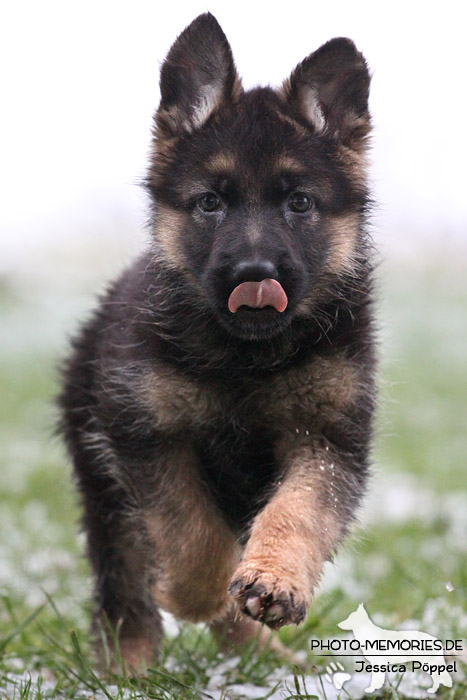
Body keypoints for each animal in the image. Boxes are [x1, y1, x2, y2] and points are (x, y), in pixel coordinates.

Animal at [58, 13, 376, 672]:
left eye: (299, 202)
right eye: (210, 203)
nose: (255, 274)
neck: (245, 358)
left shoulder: (328, 438)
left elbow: (298, 511)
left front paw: (272, 582)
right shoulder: (147, 436)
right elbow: (188, 531)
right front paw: (196, 593)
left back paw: (264, 658)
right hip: (103, 481)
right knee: (123, 582)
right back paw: (128, 666)